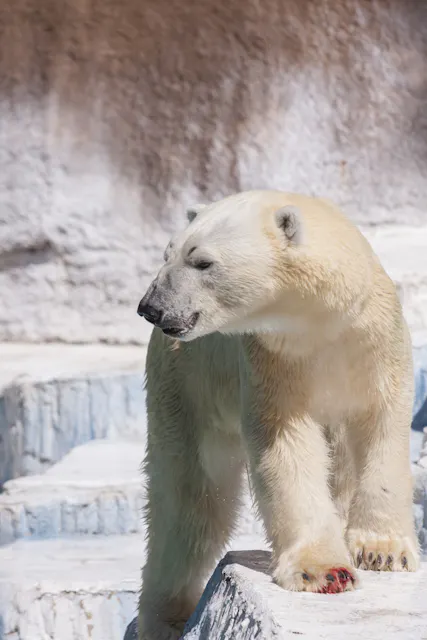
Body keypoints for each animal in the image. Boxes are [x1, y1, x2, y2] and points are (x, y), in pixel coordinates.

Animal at [136, 190, 419, 640]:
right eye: (167, 254)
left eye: (202, 262)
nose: (151, 308)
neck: (322, 324)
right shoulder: (271, 361)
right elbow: (287, 447)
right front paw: (326, 572)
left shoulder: (376, 347)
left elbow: (381, 429)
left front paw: (382, 552)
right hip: (187, 386)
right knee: (189, 504)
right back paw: (165, 619)